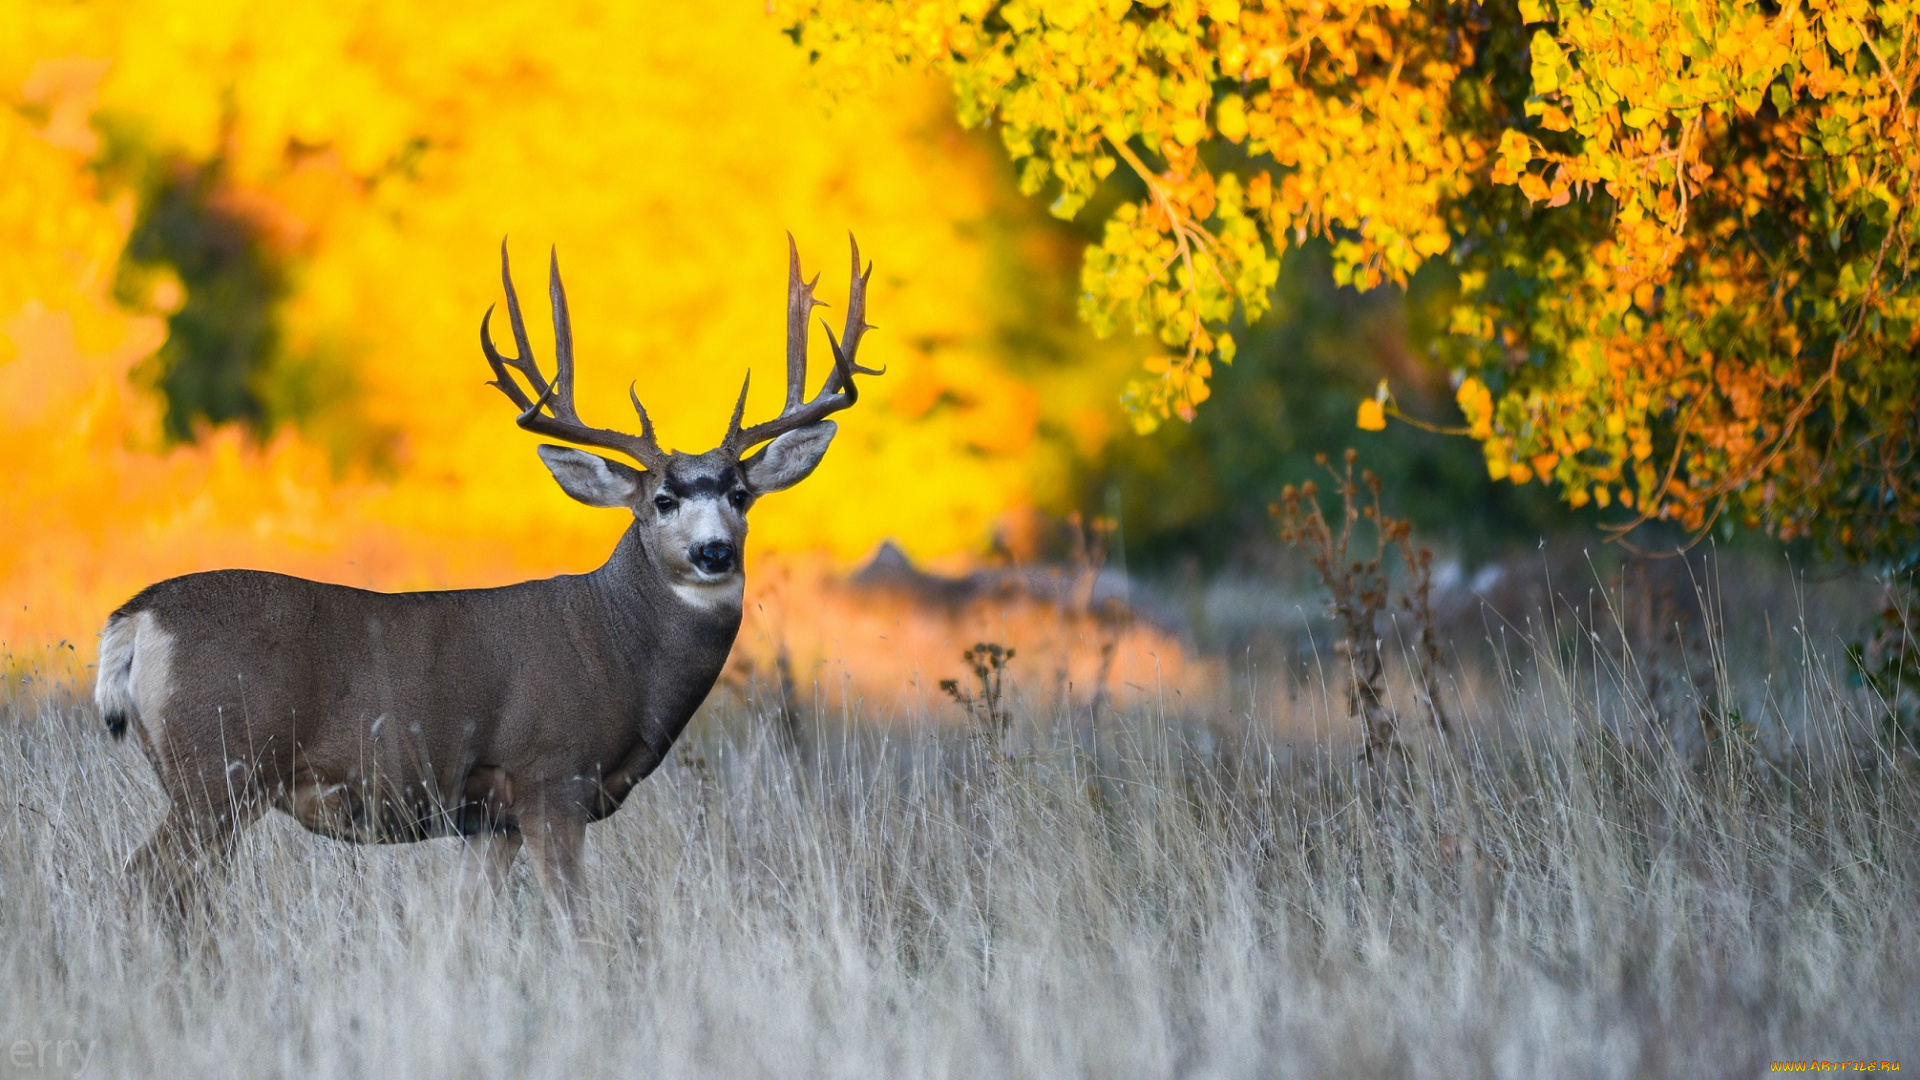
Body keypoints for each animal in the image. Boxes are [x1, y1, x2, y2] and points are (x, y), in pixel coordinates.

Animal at [86, 235, 875, 926]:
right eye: (662, 499)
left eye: (741, 494)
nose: (714, 552)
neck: (619, 646)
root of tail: (136, 615)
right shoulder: (552, 776)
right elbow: (578, 924)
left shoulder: (487, 817)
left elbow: (463, 923)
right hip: (217, 767)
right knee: (145, 877)